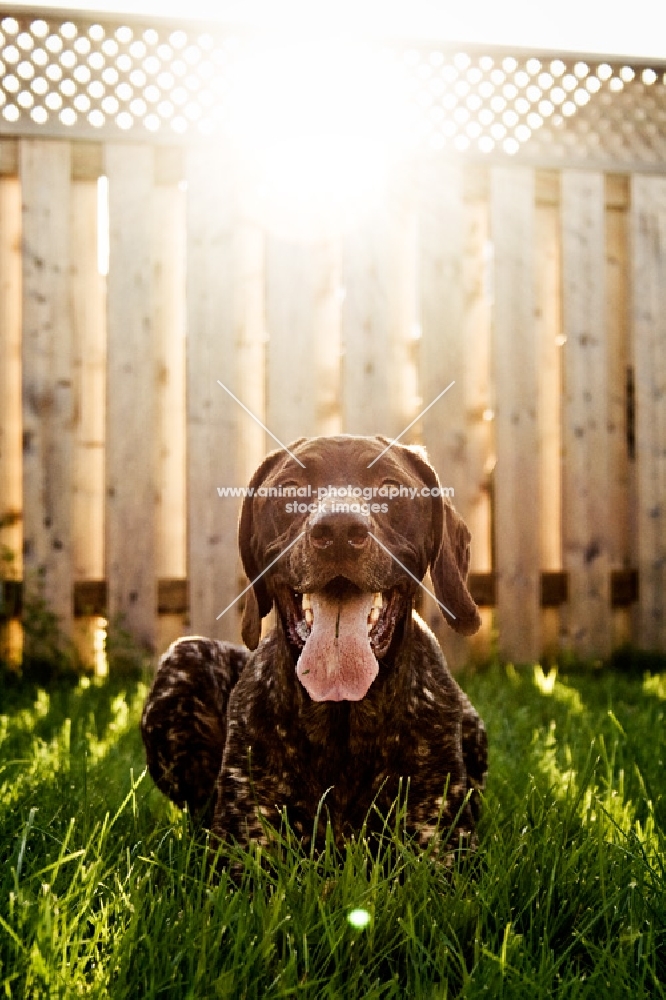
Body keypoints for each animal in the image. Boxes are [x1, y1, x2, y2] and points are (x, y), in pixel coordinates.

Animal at [141, 438, 482, 860]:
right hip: (183, 660)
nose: (338, 530)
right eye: (290, 488)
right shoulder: (243, 851)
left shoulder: (440, 851)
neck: (343, 715)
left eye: (390, 487)